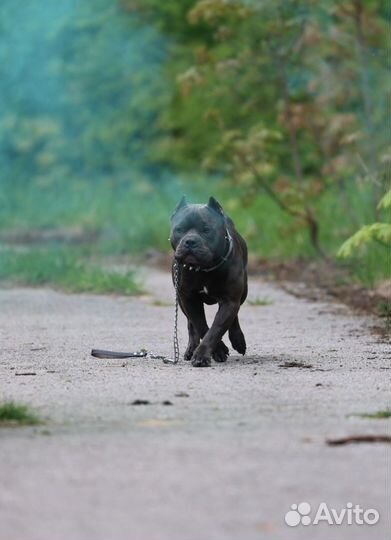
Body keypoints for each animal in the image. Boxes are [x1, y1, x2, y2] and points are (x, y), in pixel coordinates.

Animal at [169, 196, 248, 370]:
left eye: (206, 230)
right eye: (179, 229)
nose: (190, 241)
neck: (205, 269)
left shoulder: (229, 300)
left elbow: (216, 327)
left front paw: (202, 355)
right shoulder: (188, 299)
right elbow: (201, 325)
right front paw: (218, 350)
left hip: (242, 293)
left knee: (234, 316)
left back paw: (238, 340)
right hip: (181, 301)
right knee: (191, 324)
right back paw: (191, 349)